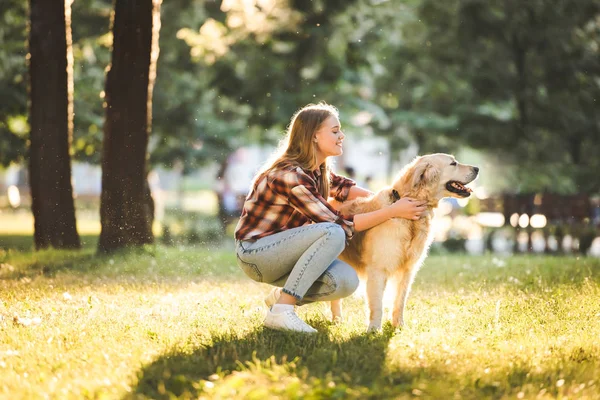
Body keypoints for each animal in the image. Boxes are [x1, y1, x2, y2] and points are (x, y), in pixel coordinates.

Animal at [332, 153, 478, 332]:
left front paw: (398, 326)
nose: (477, 168)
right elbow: (377, 305)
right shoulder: (378, 270)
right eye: (453, 163)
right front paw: (373, 330)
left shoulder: (407, 271)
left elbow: (399, 301)